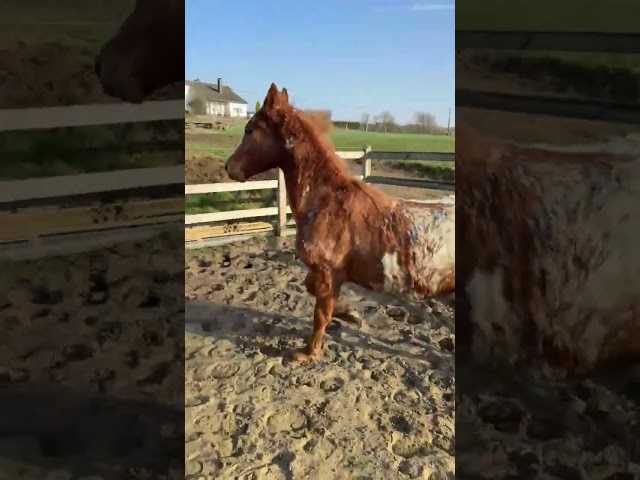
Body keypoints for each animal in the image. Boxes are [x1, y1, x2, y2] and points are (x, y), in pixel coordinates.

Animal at [225, 83, 455, 362]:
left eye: (249, 129)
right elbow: (312, 289)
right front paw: (351, 315)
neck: (326, 202)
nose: (228, 167)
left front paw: (308, 353)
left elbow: (320, 314)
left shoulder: (328, 270)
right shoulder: (326, 274)